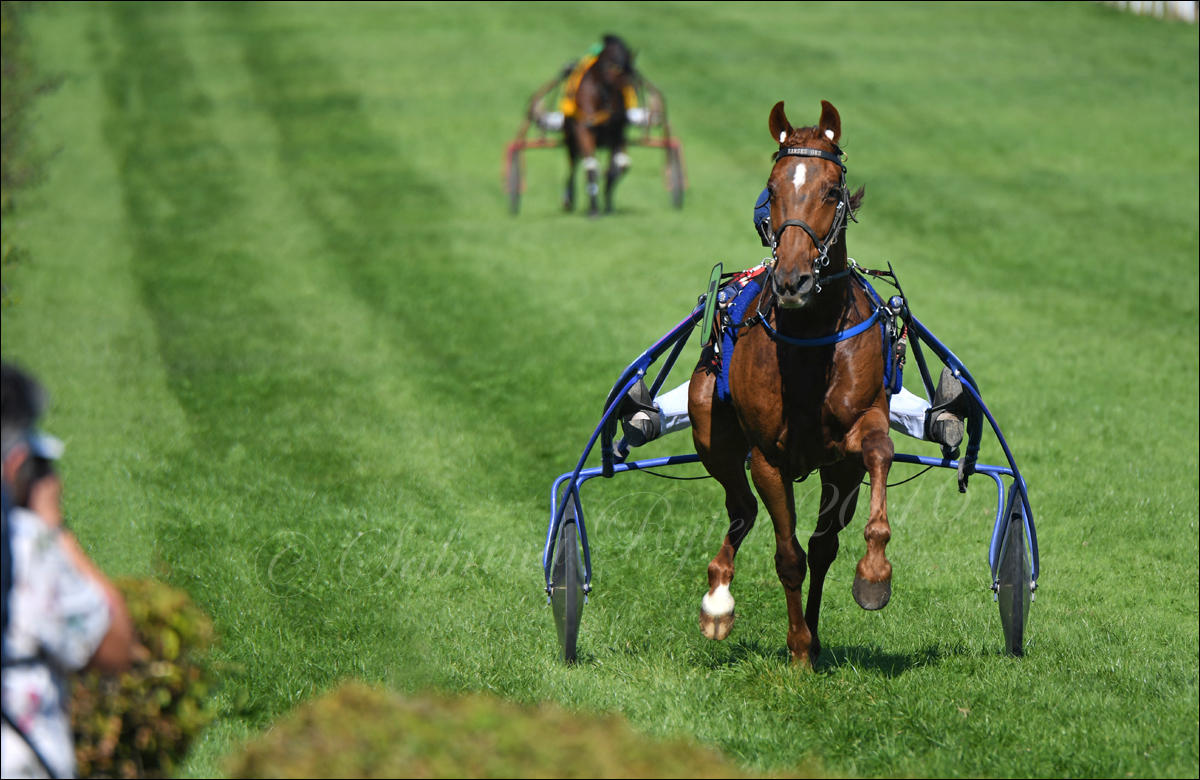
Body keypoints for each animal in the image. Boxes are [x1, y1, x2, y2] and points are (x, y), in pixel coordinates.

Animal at [564, 35, 638, 213]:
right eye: (620, 74)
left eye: (634, 76)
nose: (632, 88)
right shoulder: (584, 129)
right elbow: (590, 165)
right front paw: (593, 209)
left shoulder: (618, 133)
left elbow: (620, 165)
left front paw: (608, 204)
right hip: (571, 139)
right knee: (572, 165)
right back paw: (568, 199)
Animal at [686, 100, 892, 667]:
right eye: (772, 188)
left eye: (831, 191)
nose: (792, 280)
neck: (811, 337)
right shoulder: (768, 457)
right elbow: (788, 556)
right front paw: (799, 649)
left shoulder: (849, 446)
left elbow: (877, 458)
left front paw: (874, 574)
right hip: (710, 427)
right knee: (741, 509)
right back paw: (718, 599)